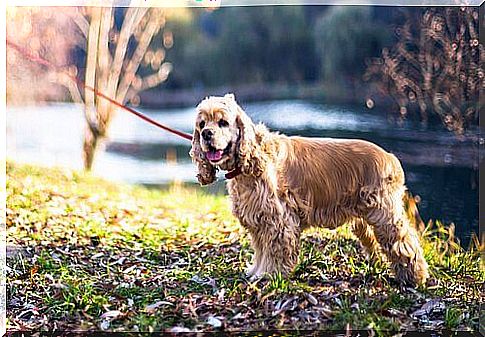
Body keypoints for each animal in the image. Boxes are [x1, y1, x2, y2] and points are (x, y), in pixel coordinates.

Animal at [189, 93, 428, 284]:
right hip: (364, 218)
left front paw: (269, 275)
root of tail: (390, 157)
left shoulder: (278, 220)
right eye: (201, 124)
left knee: (405, 242)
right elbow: (260, 250)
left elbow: (275, 252)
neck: (251, 160)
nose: (206, 134)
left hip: (384, 213)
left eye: (222, 122)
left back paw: (415, 277)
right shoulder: (258, 220)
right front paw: (256, 271)